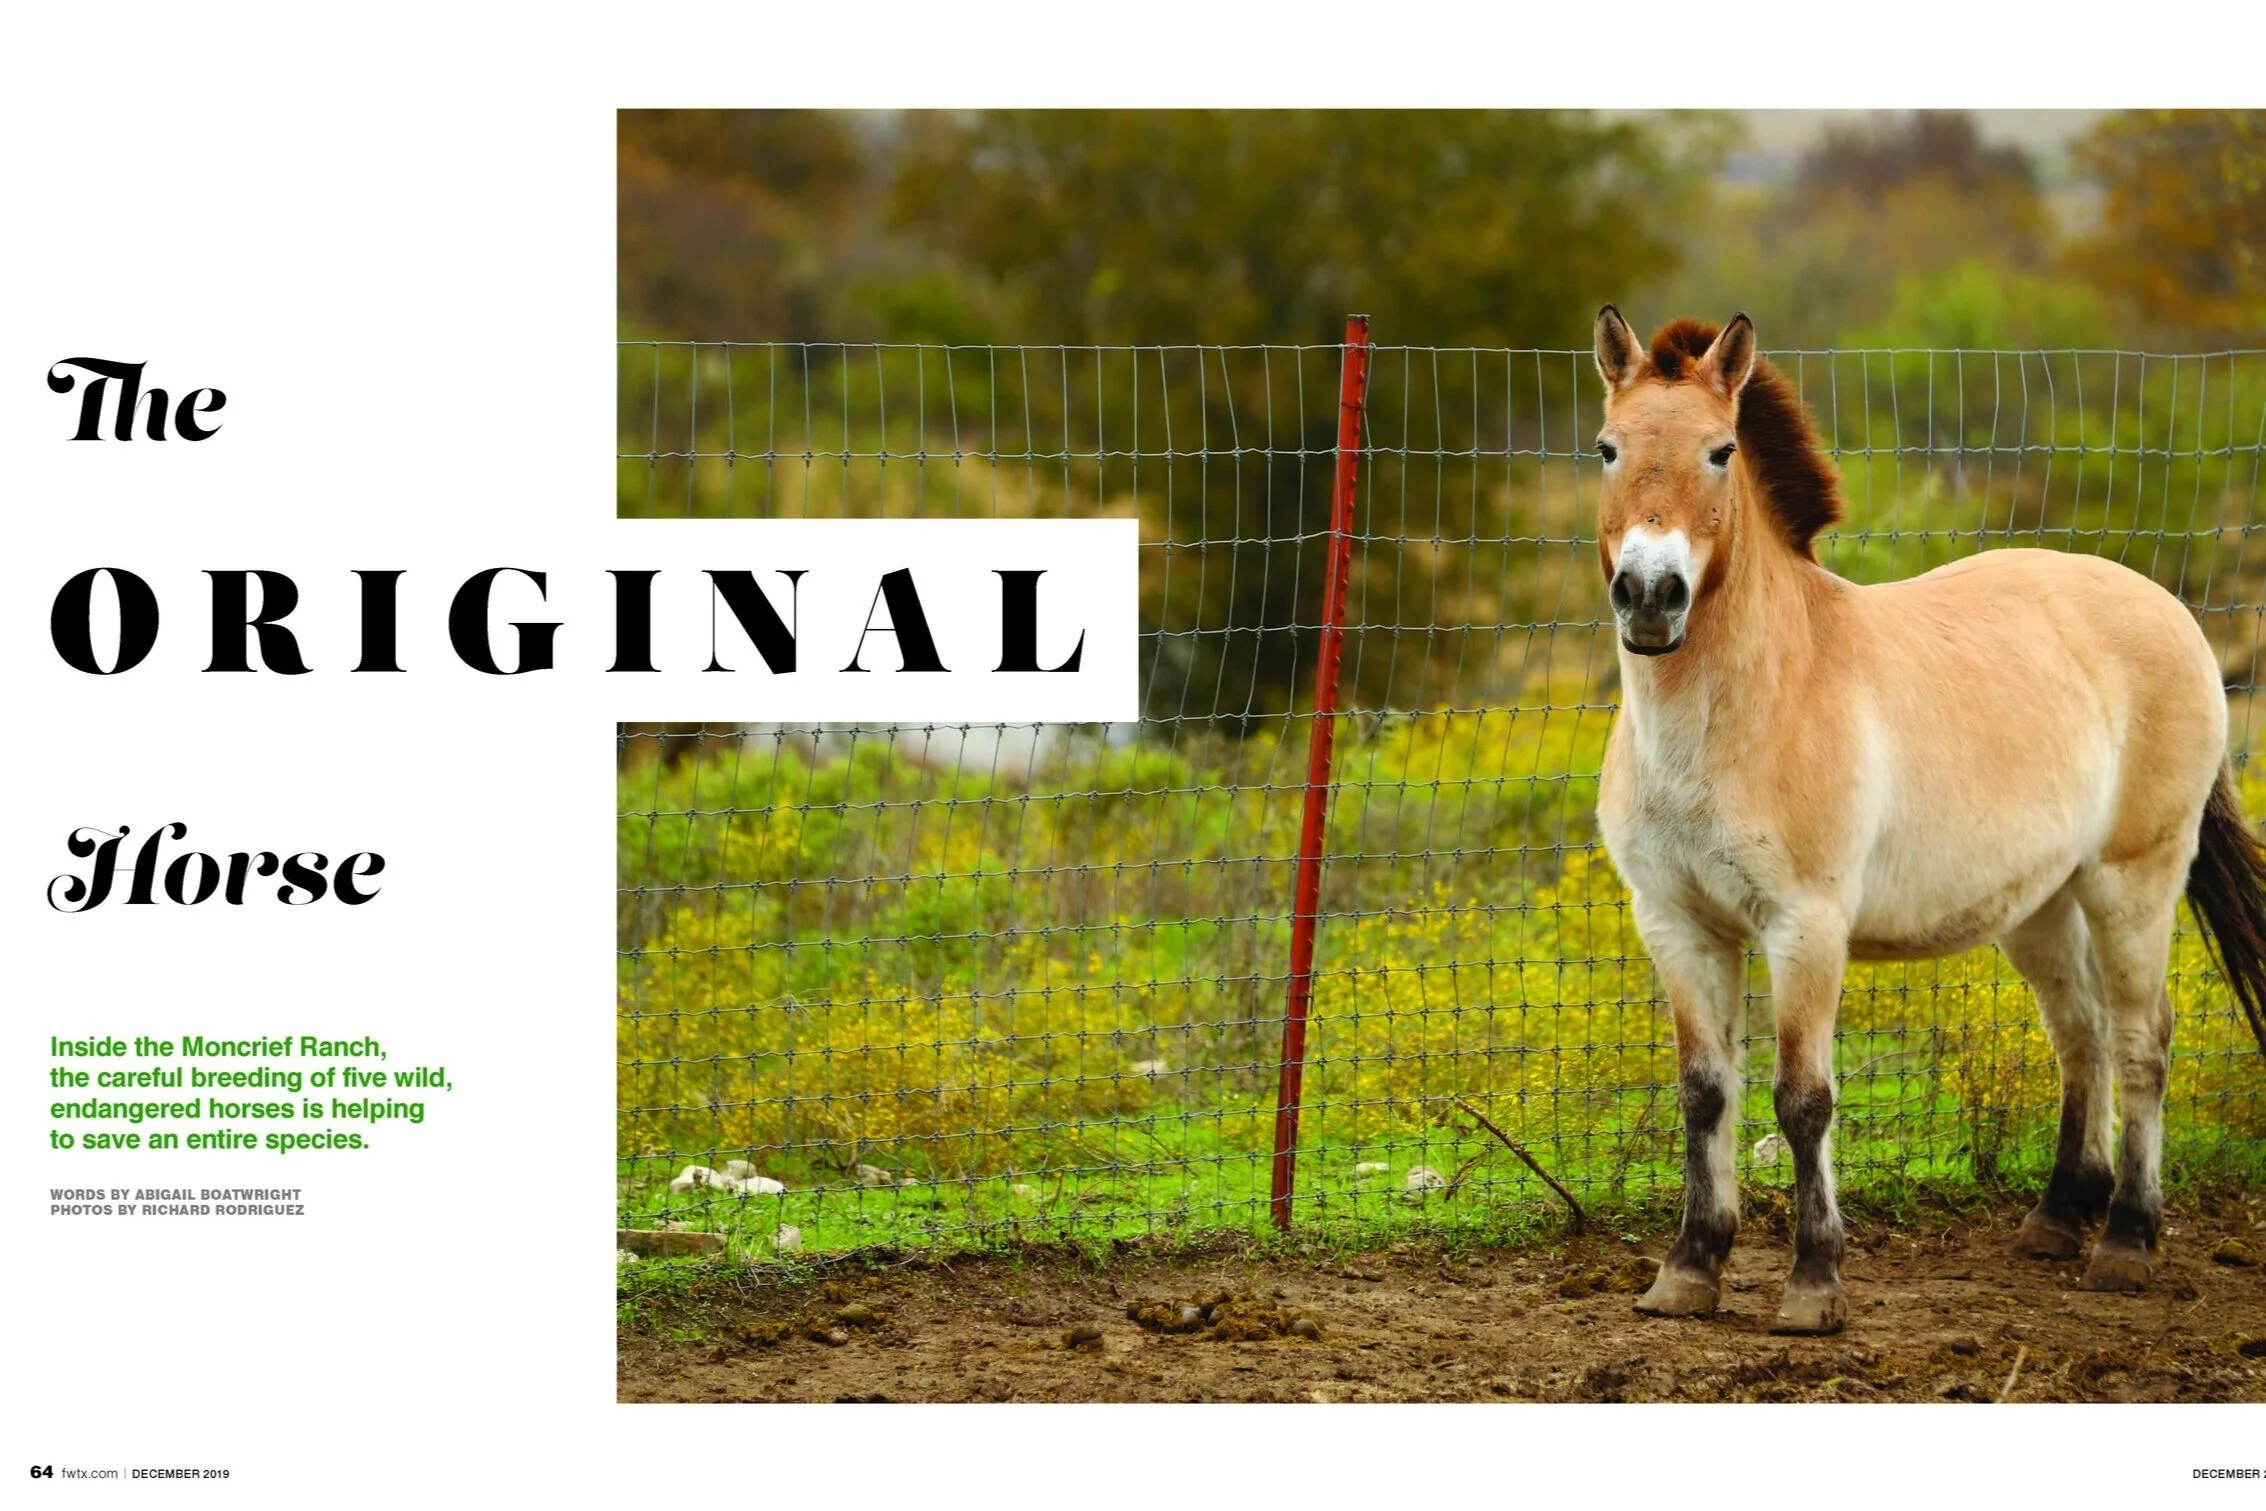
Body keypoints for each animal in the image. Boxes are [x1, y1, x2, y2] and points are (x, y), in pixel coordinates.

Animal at [1587, 307, 2266, 1334]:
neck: (1747, 703)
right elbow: (1705, 1094)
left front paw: (1813, 1284)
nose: (1651, 596)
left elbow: (1803, 1099)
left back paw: (2125, 1241)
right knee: (2082, 1033)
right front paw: (1688, 1270)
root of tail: (2168, 611)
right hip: (2040, 905)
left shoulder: (1805, 927)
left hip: (2133, 883)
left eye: (1720, 450)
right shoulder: (1678, 926)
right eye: (1607, 447)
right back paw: (2058, 1216)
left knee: (2143, 1039)